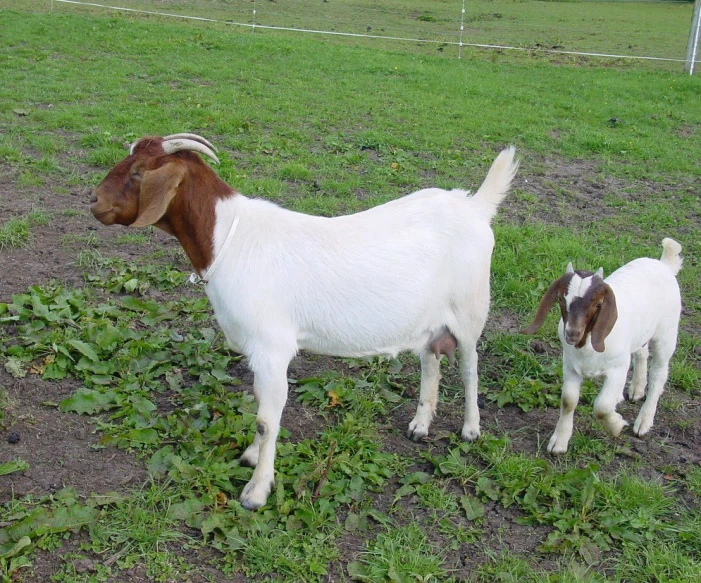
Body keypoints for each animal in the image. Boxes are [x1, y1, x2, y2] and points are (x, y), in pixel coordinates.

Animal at [90, 135, 516, 508]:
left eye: (139, 173)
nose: (93, 201)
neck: (229, 236)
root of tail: (475, 206)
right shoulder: (258, 352)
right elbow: (261, 407)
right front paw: (250, 456)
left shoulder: (271, 348)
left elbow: (266, 419)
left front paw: (256, 492)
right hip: (429, 320)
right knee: (431, 361)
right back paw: (420, 425)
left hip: (470, 309)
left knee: (470, 367)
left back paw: (471, 430)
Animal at [524, 240, 680, 454]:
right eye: (561, 299)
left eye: (597, 304)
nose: (572, 333)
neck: (587, 345)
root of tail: (664, 264)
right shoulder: (570, 365)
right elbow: (568, 400)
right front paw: (559, 441)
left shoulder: (618, 369)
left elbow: (602, 406)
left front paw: (616, 425)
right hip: (641, 332)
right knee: (641, 352)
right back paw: (636, 389)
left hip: (666, 334)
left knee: (659, 373)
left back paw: (644, 421)